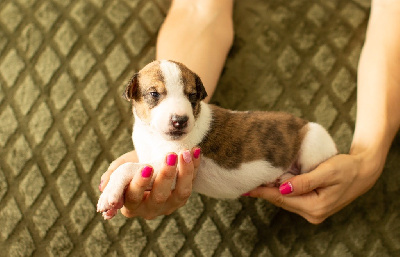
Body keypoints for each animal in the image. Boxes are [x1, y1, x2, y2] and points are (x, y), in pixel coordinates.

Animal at [97, 59, 338, 218]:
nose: (180, 120)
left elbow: (129, 167)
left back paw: (284, 177)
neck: (154, 137)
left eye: (192, 95)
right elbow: (134, 163)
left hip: (312, 143)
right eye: (154, 94)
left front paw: (110, 193)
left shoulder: (171, 168)